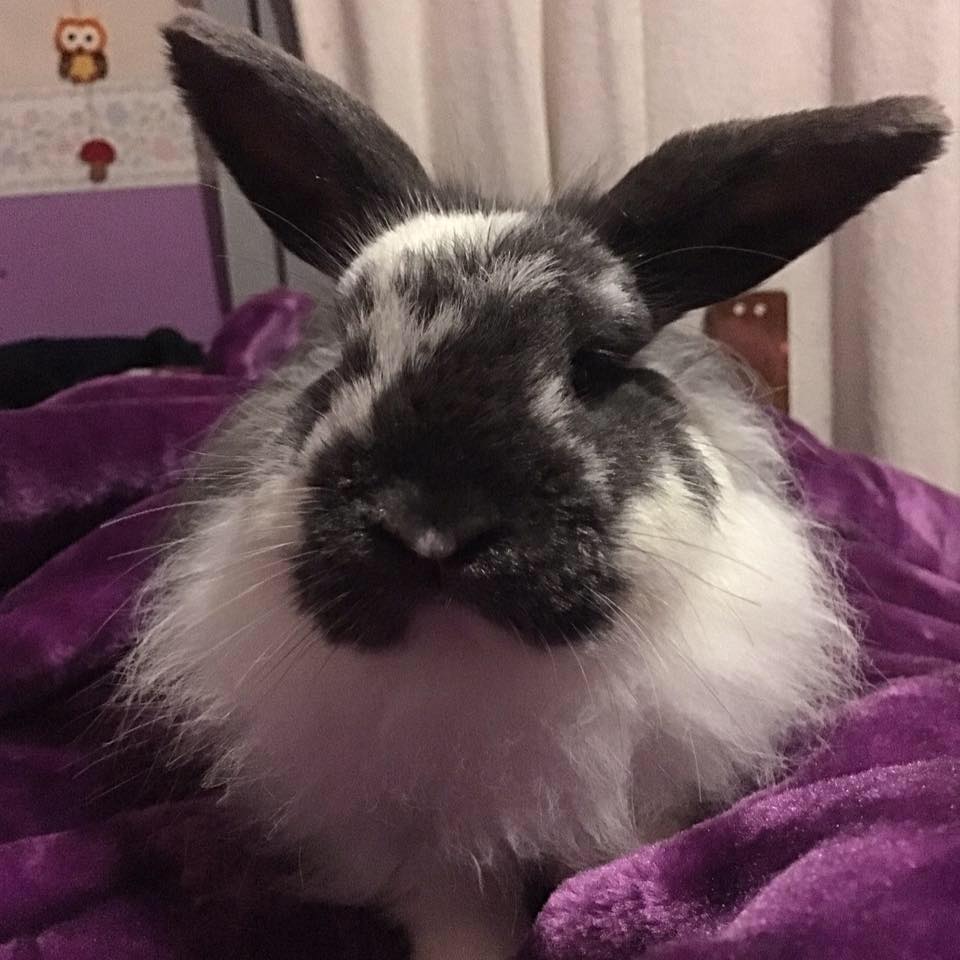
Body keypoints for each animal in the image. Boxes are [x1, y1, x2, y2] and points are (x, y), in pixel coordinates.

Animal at [120, 12, 950, 960]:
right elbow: (459, 921)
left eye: (593, 367)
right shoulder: (426, 860)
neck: (472, 664)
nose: (431, 528)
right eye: (347, 359)